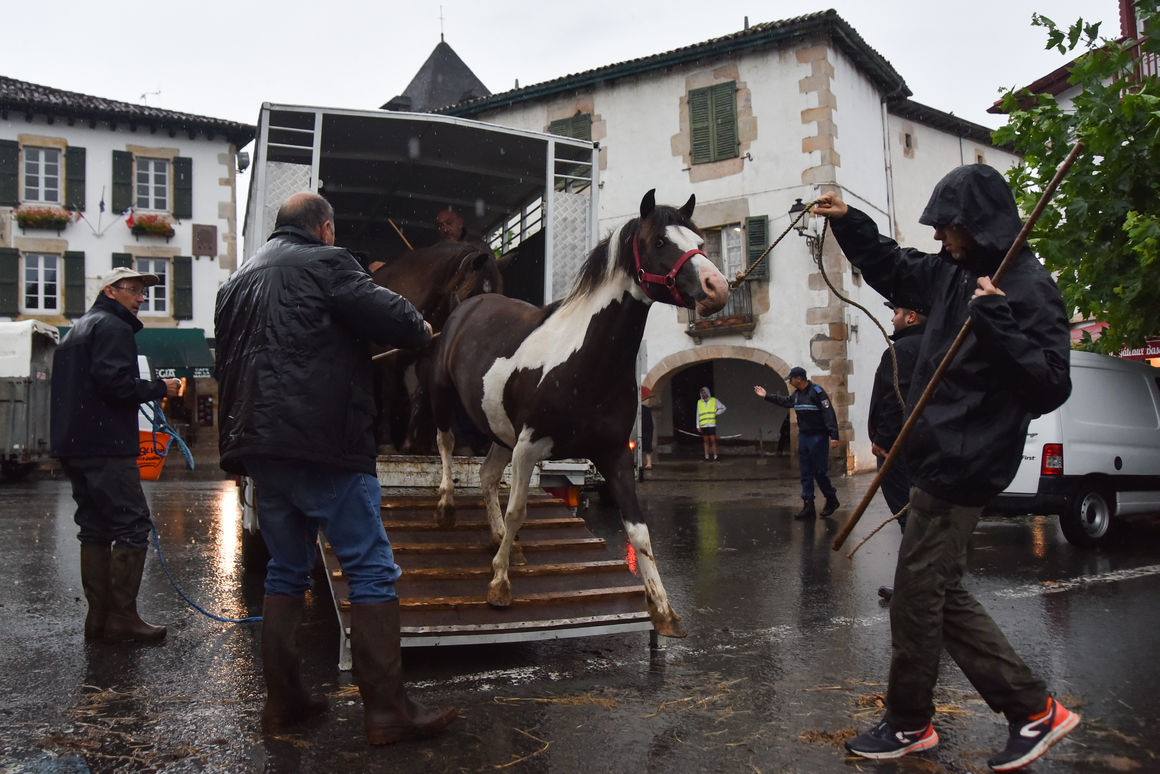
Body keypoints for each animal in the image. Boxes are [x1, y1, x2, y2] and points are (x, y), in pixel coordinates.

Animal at [431, 190, 728, 640]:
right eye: (660, 242)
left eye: (699, 241)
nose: (718, 288)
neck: (584, 360)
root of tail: (470, 303)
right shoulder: (529, 447)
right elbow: (518, 510)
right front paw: (499, 586)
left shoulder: (614, 454)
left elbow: (639, 531)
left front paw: (663, 610)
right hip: (447, 398)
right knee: (446, 443)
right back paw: (448, 507)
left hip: (500, 431)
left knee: (486, 476)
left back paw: (500, 541)